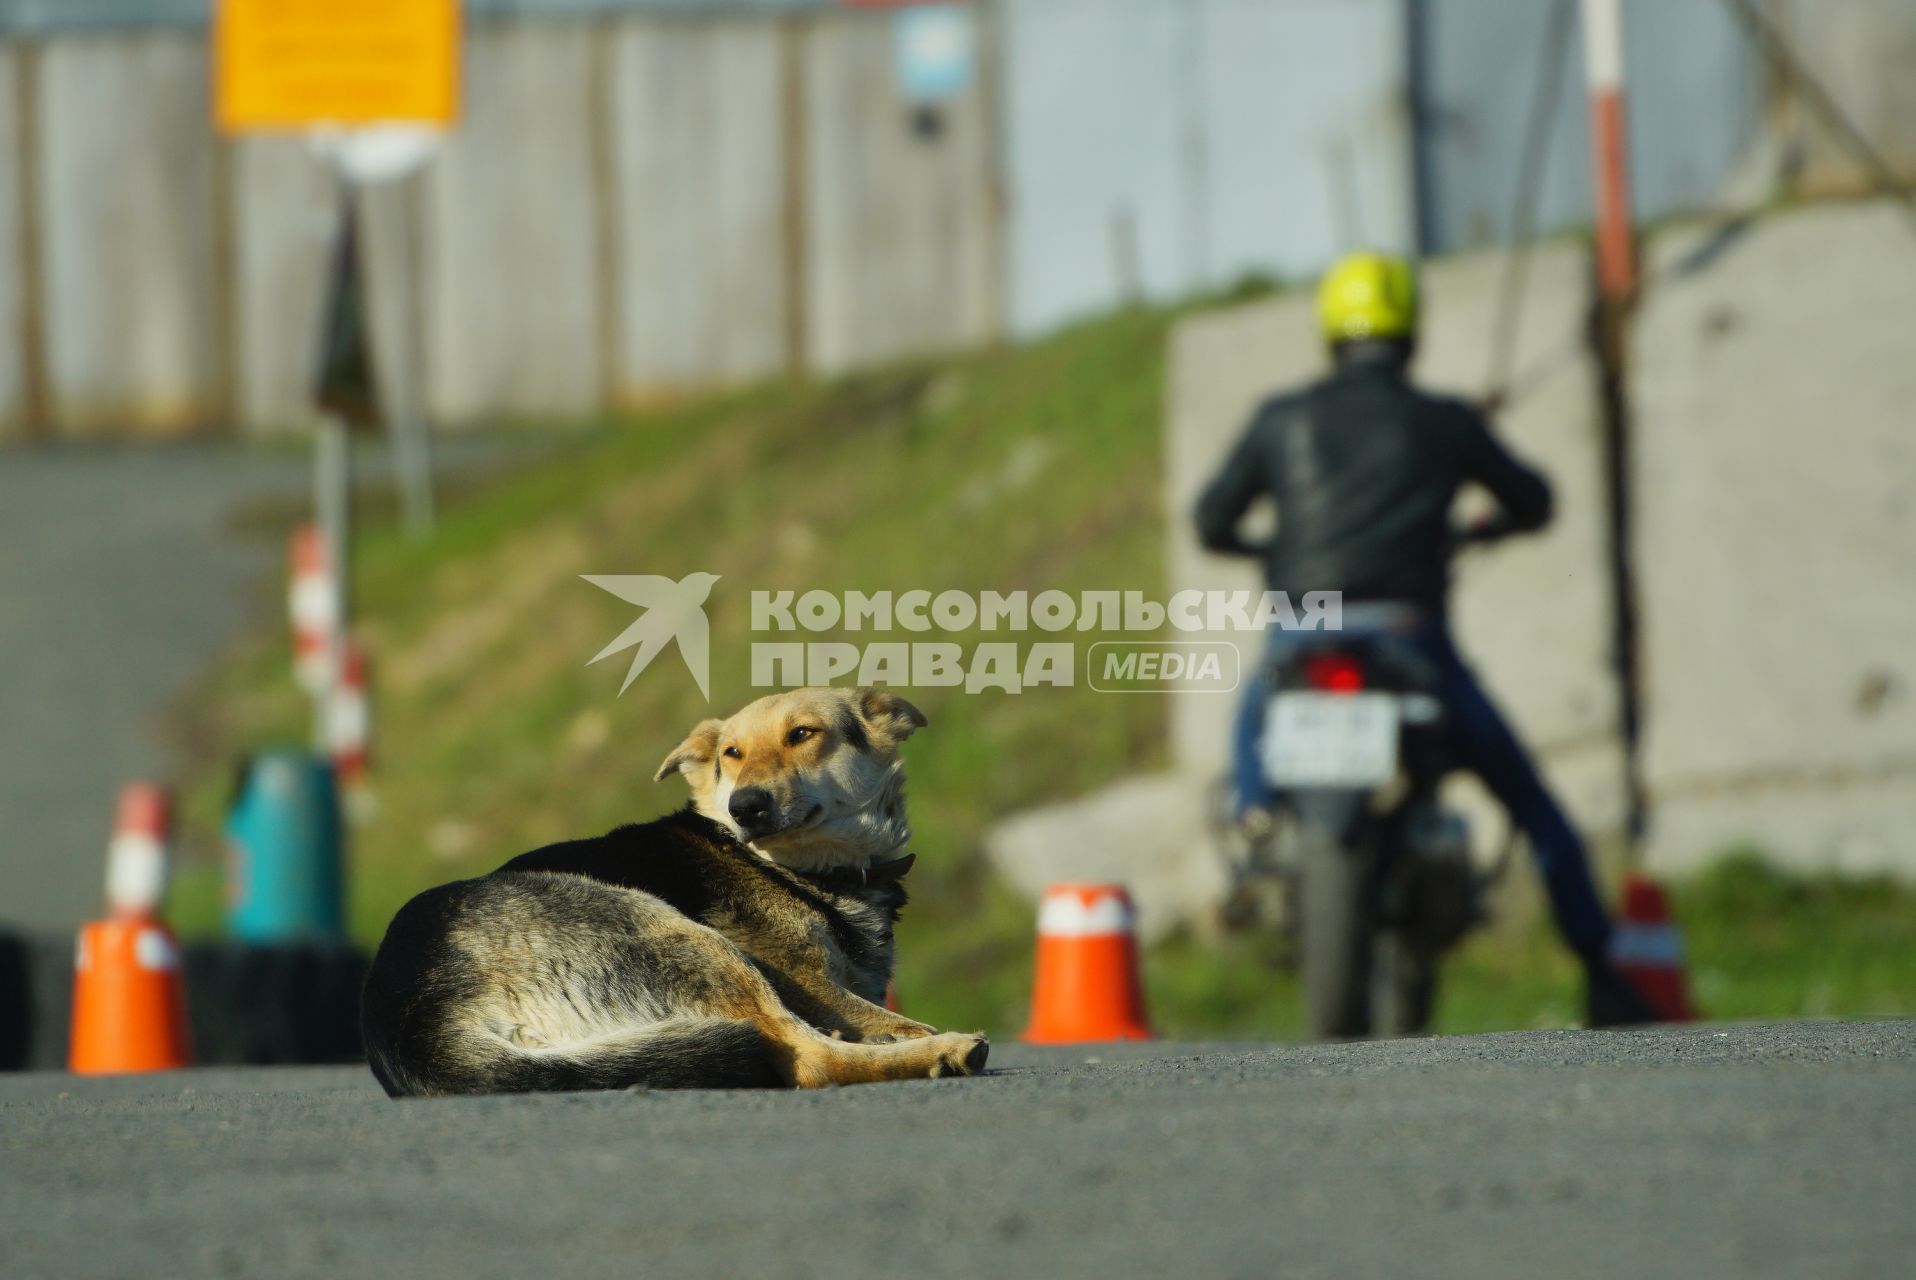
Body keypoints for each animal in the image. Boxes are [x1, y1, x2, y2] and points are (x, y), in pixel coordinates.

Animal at [360, 685, 988, 1096]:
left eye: (803, 735)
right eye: (732, 754)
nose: (745, 806)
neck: (801, 869)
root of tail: (414, 1028)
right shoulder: (808, 980)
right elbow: (883, 1018)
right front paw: (917, 1037)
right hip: (678, 933)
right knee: (809, 1057)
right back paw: (945, 1052)